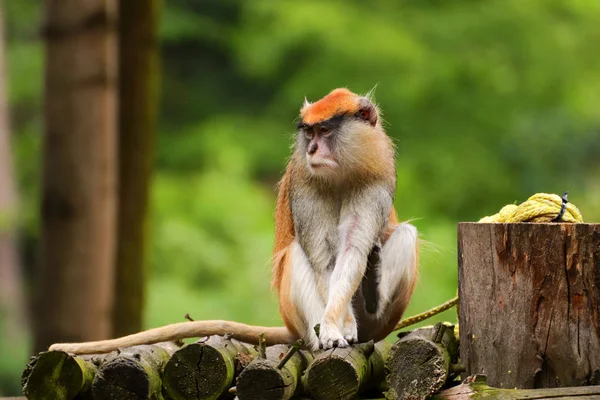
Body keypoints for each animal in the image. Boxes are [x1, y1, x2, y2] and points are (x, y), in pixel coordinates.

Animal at [48, 87, 418, 354]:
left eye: (325, 131)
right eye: (310, 134)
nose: (312, 150)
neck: (342, 172)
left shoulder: (376, 180)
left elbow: (352, 250)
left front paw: (343, 320)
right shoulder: (305, 183)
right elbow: (322, 258)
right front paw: (335, 328)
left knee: (406, 234)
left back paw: (371, 293)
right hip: (294, 316)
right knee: (296, 254)